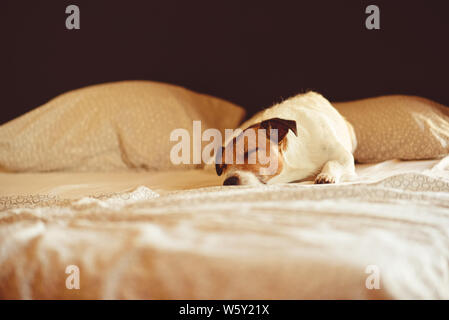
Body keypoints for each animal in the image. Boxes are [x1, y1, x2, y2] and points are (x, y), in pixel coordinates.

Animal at [215, 90, 356, 185]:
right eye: (223, 166)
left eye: (250, 152)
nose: (228, 182)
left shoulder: (343, 156)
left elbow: (332, 162)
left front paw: (326, 175)